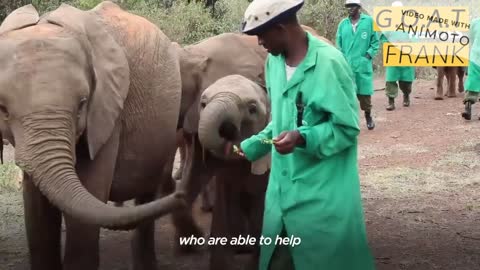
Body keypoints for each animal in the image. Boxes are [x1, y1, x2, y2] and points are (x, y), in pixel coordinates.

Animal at [0, 2, 197, 270]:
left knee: (148, 192)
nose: (184, 194)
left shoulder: (107, 112)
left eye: (83, 104)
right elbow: (36, 207)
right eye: (3, 110)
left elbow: (90, 191)